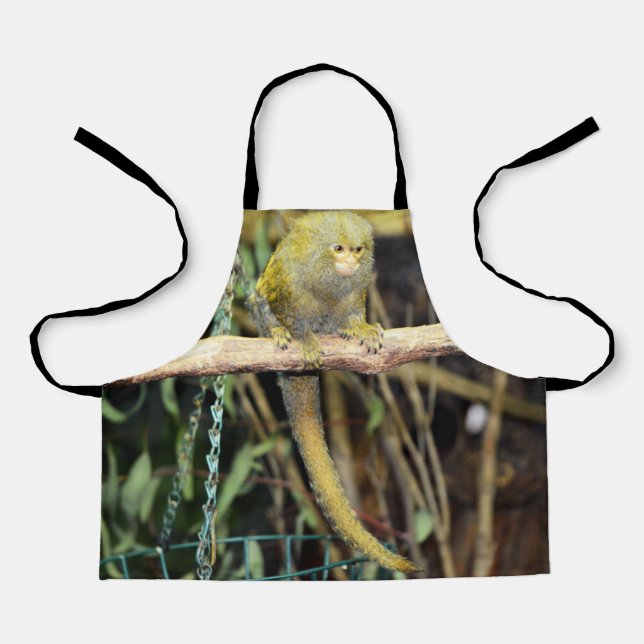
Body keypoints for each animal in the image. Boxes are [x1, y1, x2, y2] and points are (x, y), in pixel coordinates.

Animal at [248, 210, 421, 574]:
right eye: (337, 248)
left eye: (358, 249)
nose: (350, 262)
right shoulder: (286, 280)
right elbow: (281, 308)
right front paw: (300, 337)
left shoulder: (355, 291)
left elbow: (352, 313)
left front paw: (360, 328)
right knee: (260, 303)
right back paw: (278, 332)